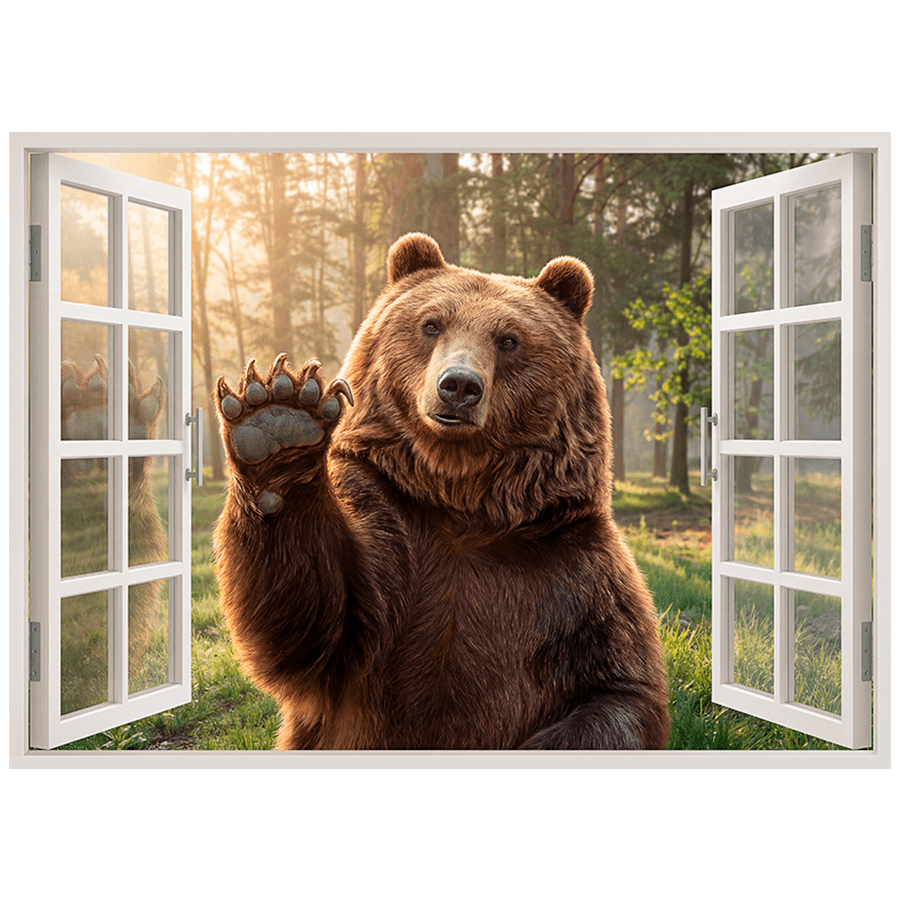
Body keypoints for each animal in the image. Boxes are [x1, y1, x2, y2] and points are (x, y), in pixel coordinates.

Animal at [212, 232, 669, 750]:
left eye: (508, 339)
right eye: (431, 324)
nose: (459, 386)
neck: (460, 500)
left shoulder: (570, 572)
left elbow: (616, 690)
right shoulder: (387, 531)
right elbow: (313, 625)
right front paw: (278, 421)